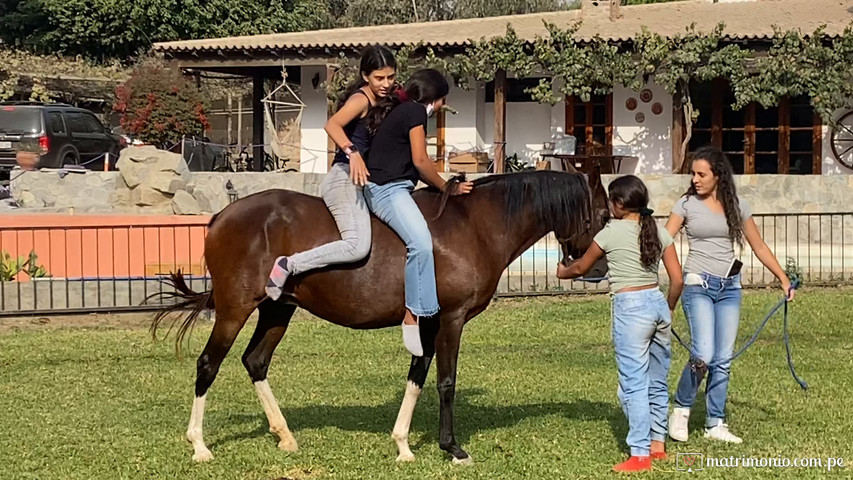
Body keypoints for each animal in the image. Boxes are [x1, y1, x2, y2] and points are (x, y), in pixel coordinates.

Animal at [151, 170, 604, 464]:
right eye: (600, 216)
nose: (597, 269)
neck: (473, 224)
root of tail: (221, 217)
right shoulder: (452, 319)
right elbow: (445, 381)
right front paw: (452, 448)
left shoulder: (428, 321)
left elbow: (417, 376)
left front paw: (403, 445)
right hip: (234, 309)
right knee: (208, 364)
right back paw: (199, 445)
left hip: (277, 309)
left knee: (255, 361)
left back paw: (285, 436)